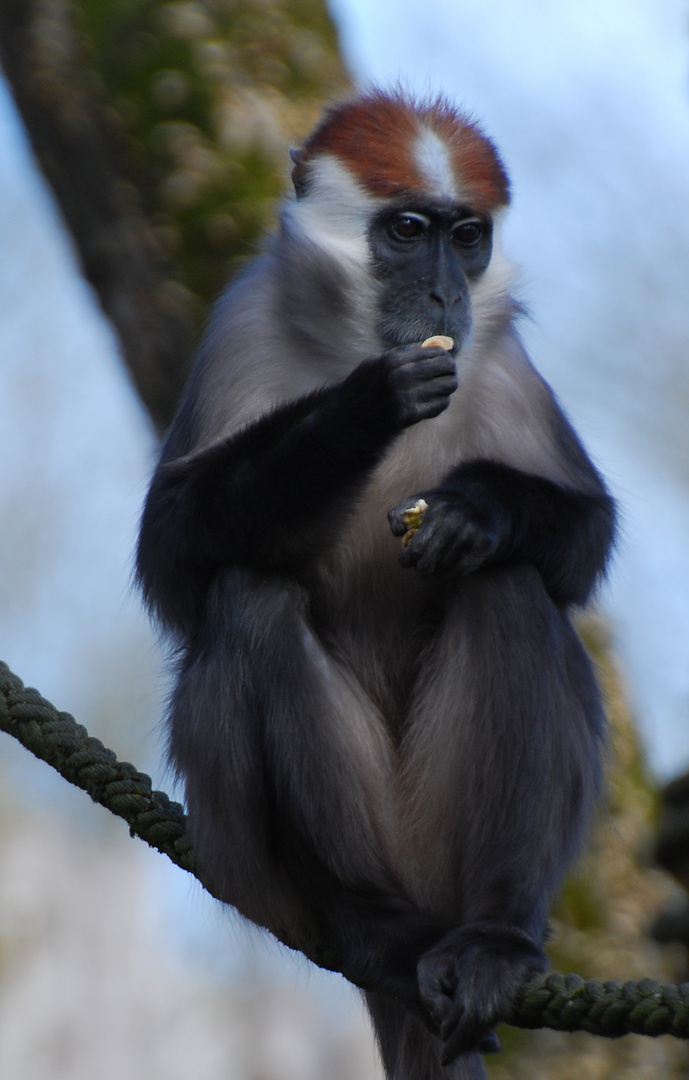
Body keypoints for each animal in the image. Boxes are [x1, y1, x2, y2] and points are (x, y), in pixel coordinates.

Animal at [134, 90, 613, 1080]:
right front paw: (358, 412)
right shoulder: (243, 323)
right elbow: (173, 556)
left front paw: (478, 508)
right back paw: (373, 930)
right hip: (279, 863)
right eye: (404, 231)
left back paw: (493, 941)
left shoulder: (497, 356)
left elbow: (580, 538)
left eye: (465, 236)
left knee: (507, 584)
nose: (442, 293)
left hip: (444, 831)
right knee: (248, 597)